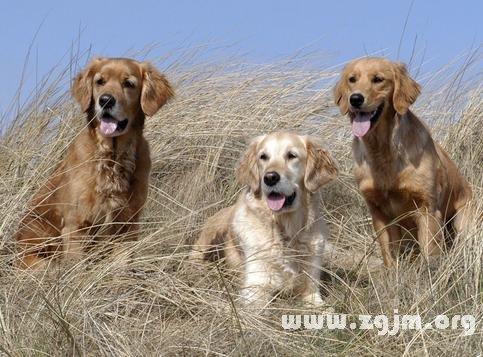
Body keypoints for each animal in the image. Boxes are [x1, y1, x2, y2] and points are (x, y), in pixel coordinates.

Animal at [15, 56, 174, 268]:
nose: (105, 100)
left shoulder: (127, 226)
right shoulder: (76, 226)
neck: (113, 157)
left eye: (129, 84)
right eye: (100, 81)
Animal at [191, 132, 338, 308]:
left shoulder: (311, 287)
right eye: (263, 157)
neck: (286, 232)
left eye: (291, 155)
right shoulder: (255, 288)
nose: (270, 178)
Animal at [334, 57, 470, 266]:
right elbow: (389, 254)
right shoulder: (378, 212)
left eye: (378, 79)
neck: (382, 151)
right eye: (352, 79)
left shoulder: (426, 208)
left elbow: (430, 253)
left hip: (463, 220)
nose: (355, 99)